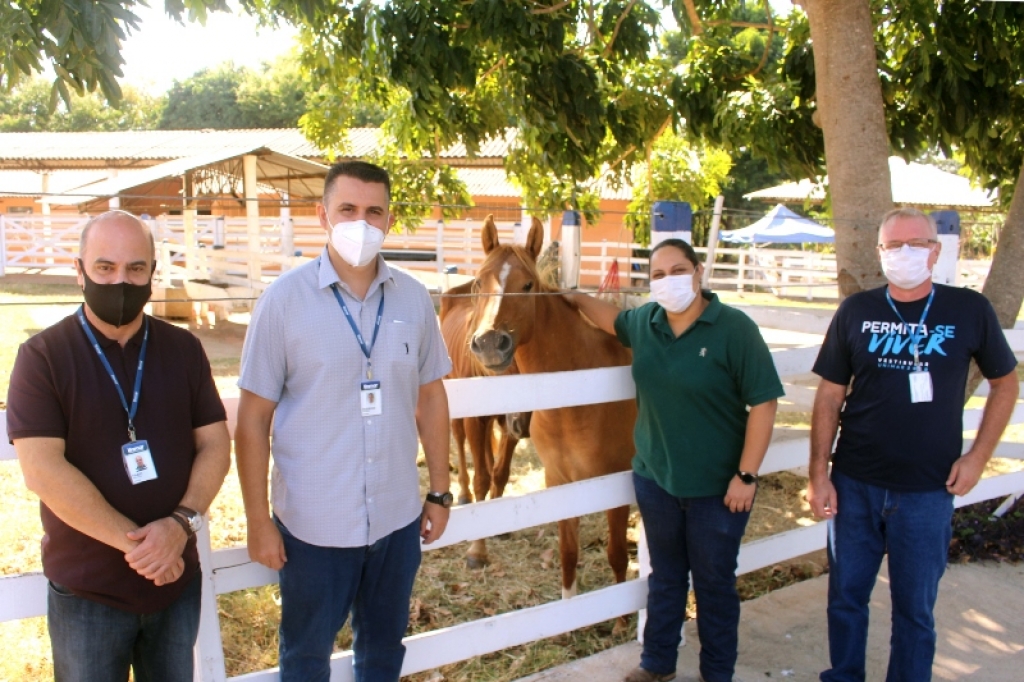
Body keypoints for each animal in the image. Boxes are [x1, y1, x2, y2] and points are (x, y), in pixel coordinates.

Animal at [442, 278, 532, 569]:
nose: (523, 422)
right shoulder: (475, 420)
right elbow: (481, 477)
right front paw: (477, 552)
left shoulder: (507, 426)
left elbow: (500, 472)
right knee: (460, 441)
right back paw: (462, 494)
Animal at [468, 215, 630, 598]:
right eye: (478, 282)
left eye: (527, 285)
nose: (490, 343)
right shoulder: (559, 481)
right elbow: (568, 553)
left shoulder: (617, 487)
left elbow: (617, 556)